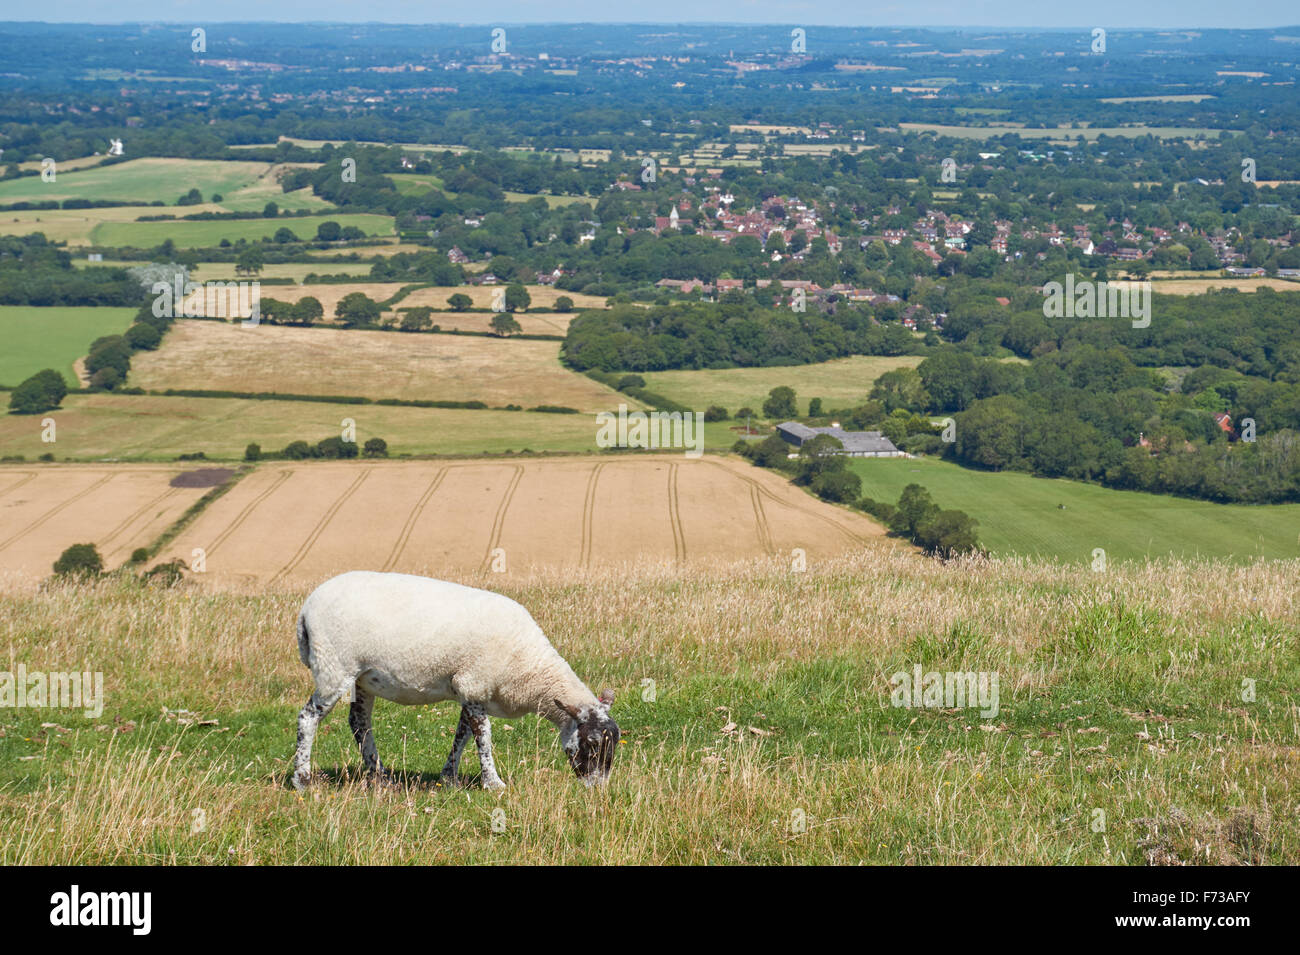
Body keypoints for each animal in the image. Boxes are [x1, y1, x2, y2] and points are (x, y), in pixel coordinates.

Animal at [295, 574, 618, 789]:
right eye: (591, 743)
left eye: (614, 742)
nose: (598, 790)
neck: (532, 669)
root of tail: (306, 610)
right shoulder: (475, 681)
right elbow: (483, 736)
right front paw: (493, 783)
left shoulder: (471, 690)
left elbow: (462, 734)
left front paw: (449, 777)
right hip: (334, 667)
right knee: (308, 717)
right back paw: (302, 779)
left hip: (362, 678)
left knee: (359, 723)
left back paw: (381, 776)